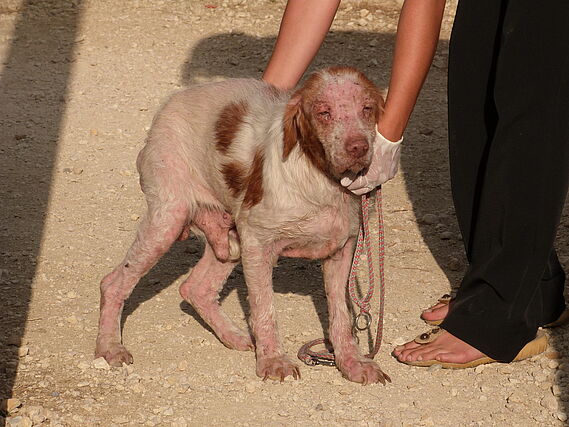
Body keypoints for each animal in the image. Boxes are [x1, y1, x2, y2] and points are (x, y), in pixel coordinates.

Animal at [96, 66, 390, 384]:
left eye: (367, 108)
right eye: (324, 112)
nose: (358, 147)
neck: (321, 179)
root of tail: (166, 108)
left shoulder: (342, 248)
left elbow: (341, 316)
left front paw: (353, 363)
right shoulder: (258, 242)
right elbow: (264, 309)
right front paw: (273, 361)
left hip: (228, 235)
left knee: (195, 288)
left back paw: (234, 336)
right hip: (169, 218)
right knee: (113, 283)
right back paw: (109, 347)